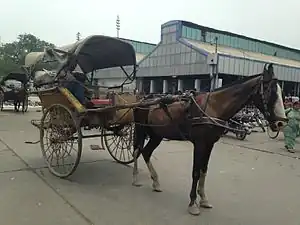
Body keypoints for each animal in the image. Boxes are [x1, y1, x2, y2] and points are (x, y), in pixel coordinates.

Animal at [132, 63, 288, 216]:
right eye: (269, 90)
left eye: (282, 92)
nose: (281, 123)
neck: (213, 107)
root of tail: (144, 99)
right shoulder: (200, 143)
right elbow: (195, 172)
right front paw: (192, 203)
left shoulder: (210, 144)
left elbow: (204, 170)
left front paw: (203, 199)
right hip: (140, 130)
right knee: (136, 151)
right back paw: (135, 178)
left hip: (156, 135)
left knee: (145, 152)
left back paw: (156, 182)